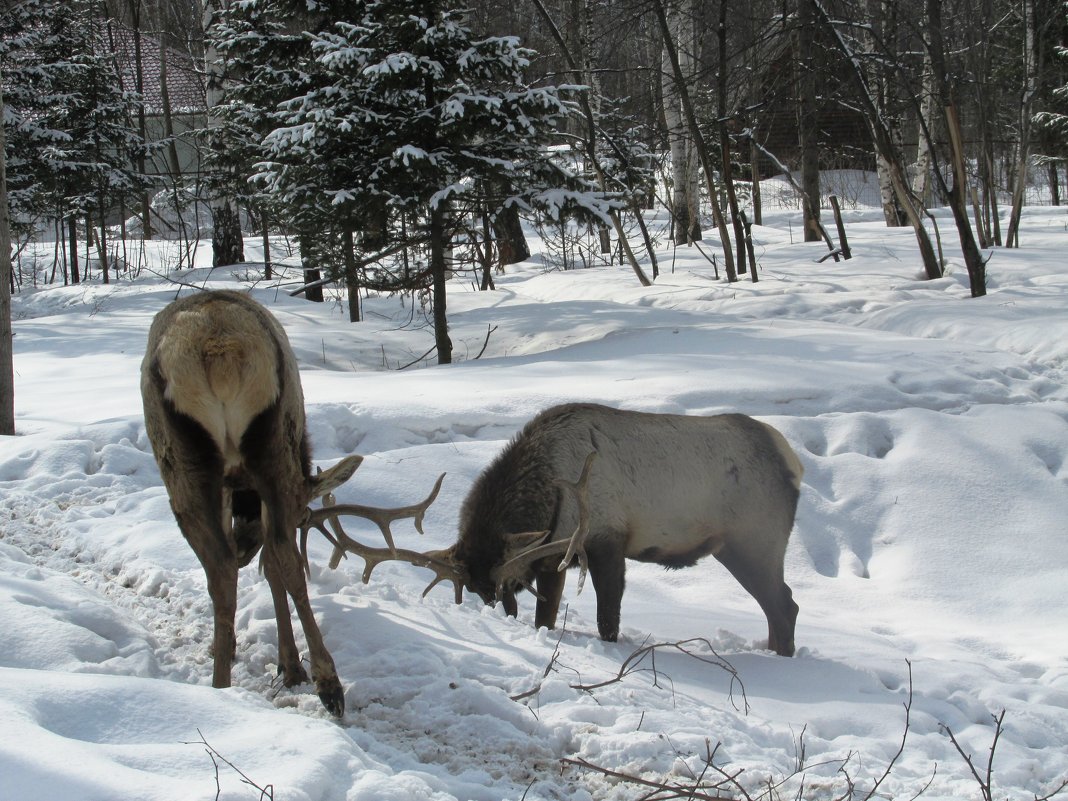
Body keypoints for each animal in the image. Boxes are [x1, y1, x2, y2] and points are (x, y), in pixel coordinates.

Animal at [140, 292, 437, 717]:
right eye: (302, 512)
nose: (244, 548)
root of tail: (218, 349)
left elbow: (269, 567)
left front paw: (277, 660)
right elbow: (273, 566)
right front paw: (283, 662)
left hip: (200, 460)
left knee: (234, 568)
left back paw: (252, 684)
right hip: (256, 447)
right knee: (268, 562)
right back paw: (308, 683)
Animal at [328, 403, 803, 653]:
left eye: (503, 589)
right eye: (477, 592)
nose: (496, 616)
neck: (549, 493)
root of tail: (791, 461)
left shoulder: (607, 540)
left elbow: (607, 618)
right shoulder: (554, 557)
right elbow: (549, 615)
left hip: (754, 542)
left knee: (785, 604)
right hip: (738, 548)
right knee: (782, 605)